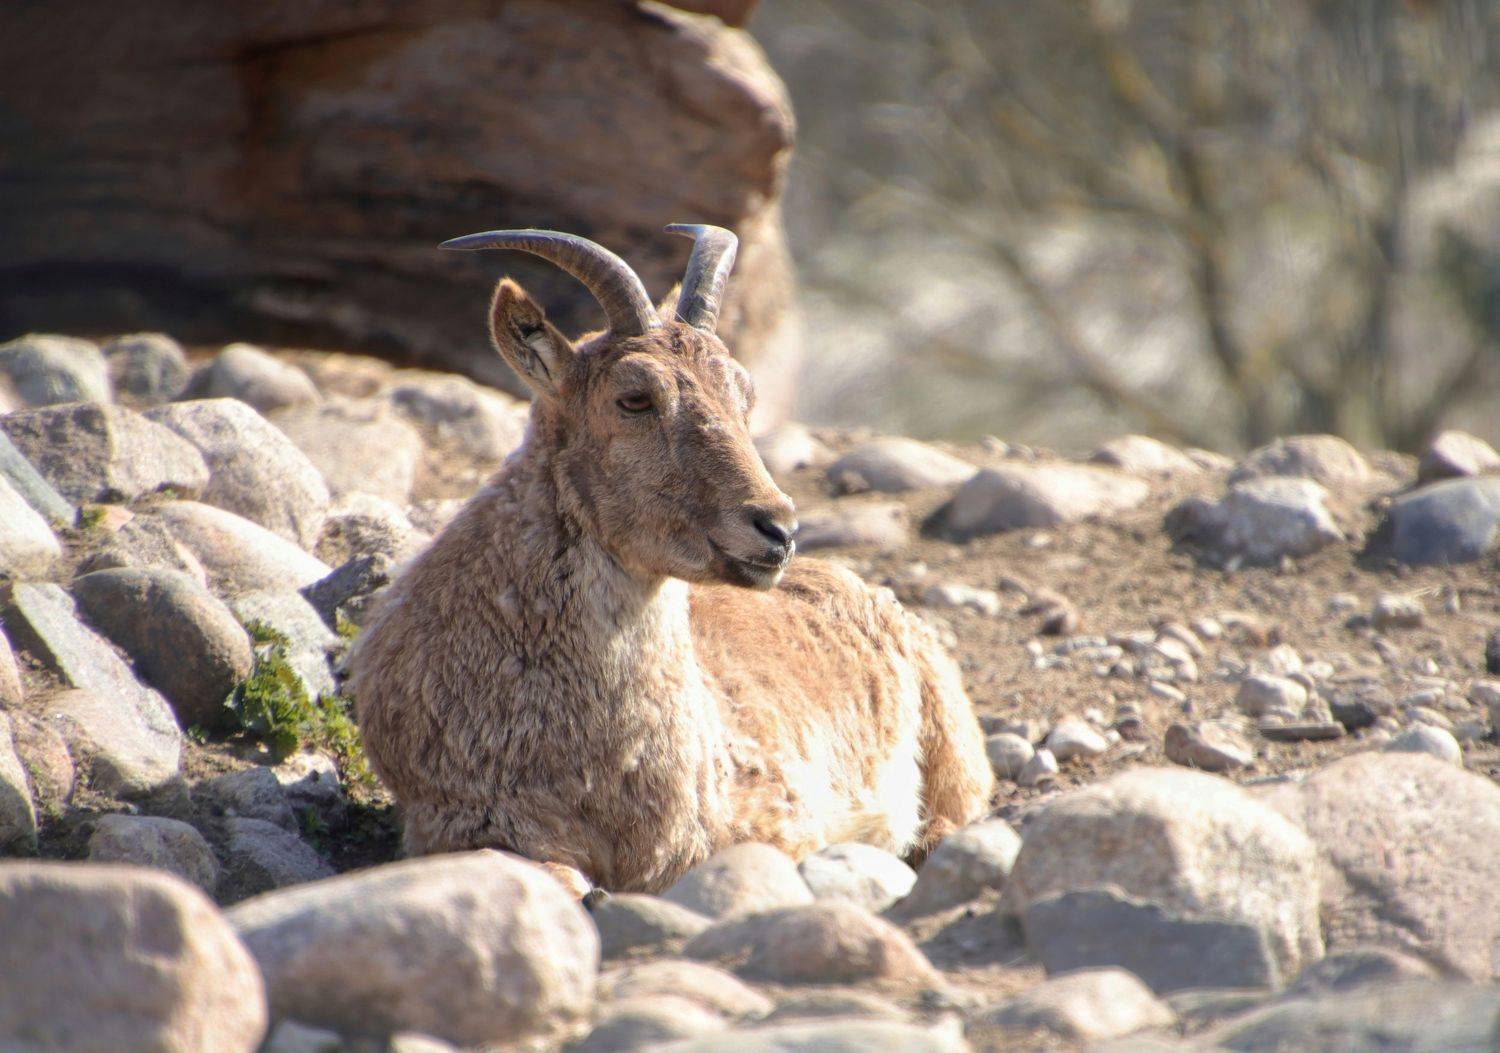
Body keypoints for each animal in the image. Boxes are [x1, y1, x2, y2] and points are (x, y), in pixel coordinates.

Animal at [348, 224, 994, 899]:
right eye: (634, 398)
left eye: (744, 394)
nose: (778, 528)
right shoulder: (459, 821)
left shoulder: (773, 819)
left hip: (951, 741)